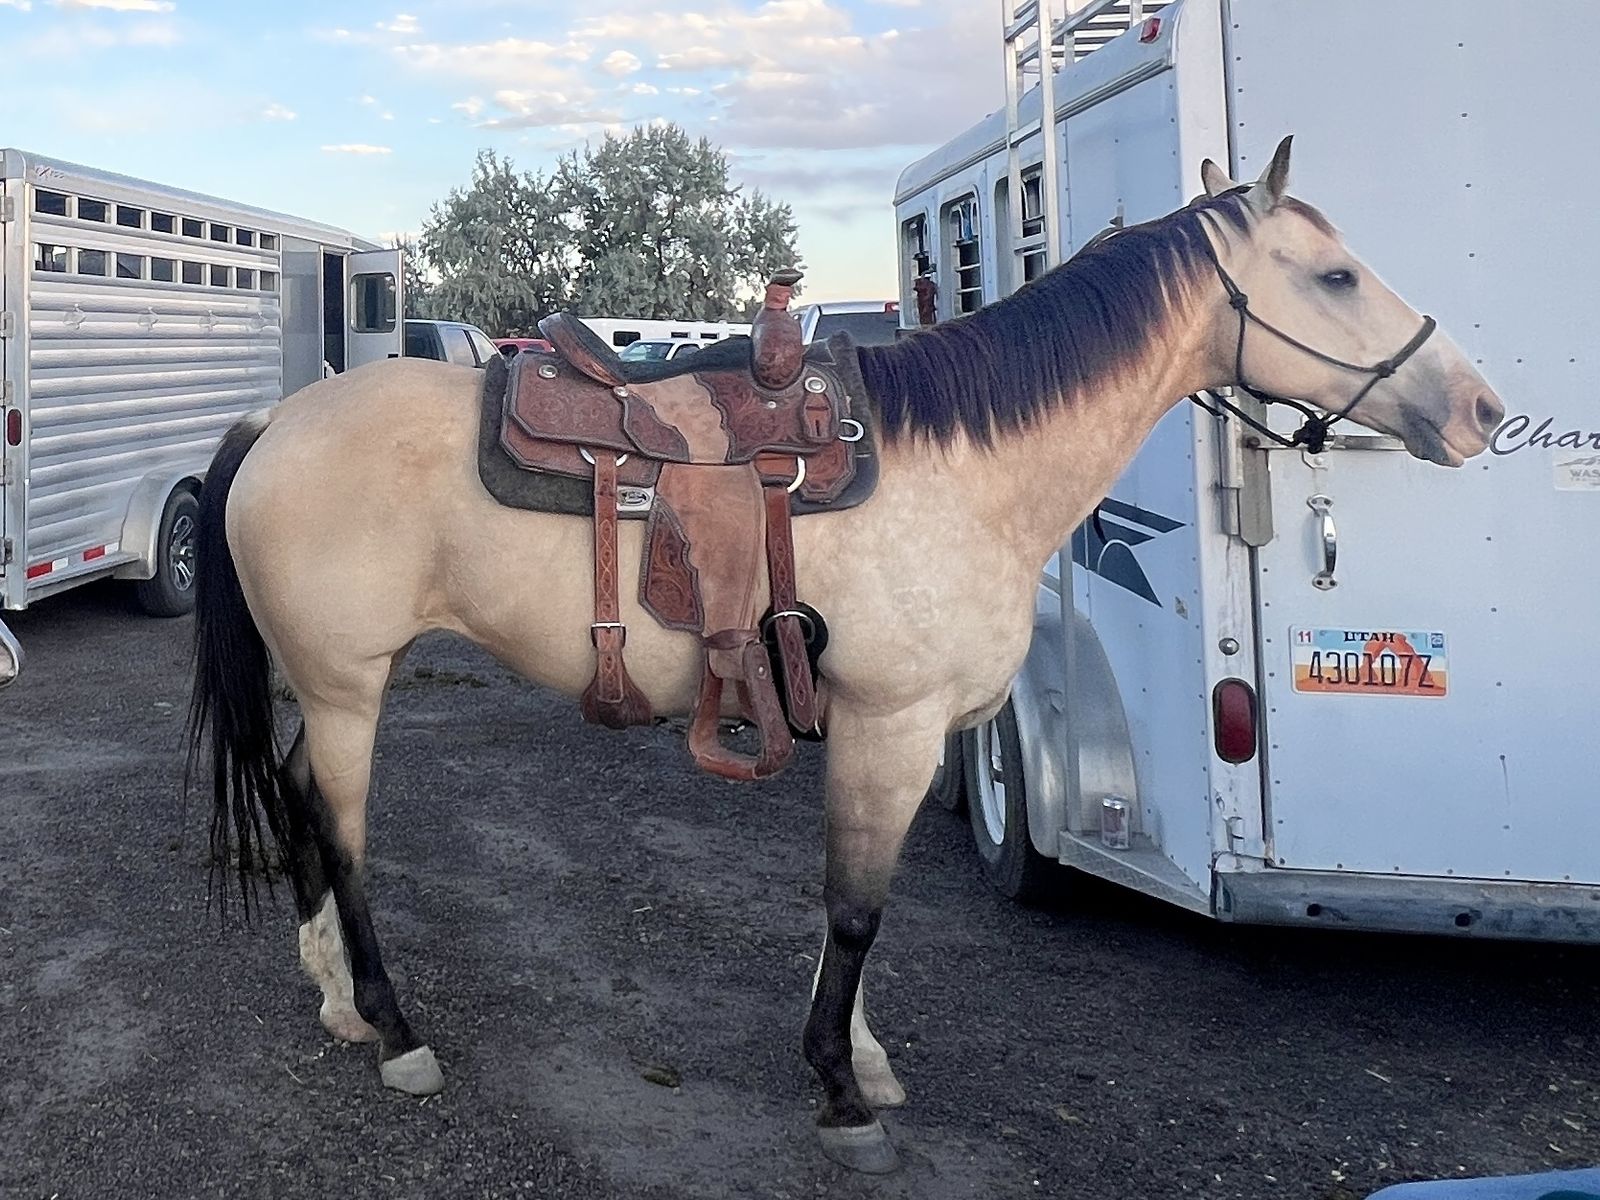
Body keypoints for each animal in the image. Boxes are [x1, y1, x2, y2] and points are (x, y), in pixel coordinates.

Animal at [186, 139, 1505, 1174]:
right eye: (1333, 274)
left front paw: (861, 1057)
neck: (963, 465)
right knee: (344, 832)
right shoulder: (892, 721)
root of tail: (275, 421)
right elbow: (857, 908)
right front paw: (837, 1089)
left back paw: (335, 1001)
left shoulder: (888, 733)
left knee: (299, 799)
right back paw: (396, 1030)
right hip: (349, 686)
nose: (1479, 410)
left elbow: (859, 910)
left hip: (330, 687)